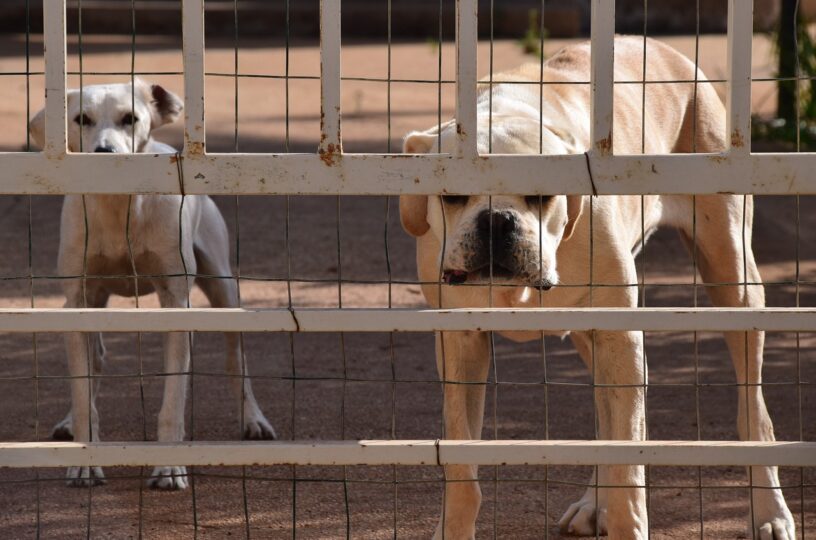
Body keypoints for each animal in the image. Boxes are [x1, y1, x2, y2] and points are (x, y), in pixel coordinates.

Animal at [29, 80, 278, 490]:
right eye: (81, 119)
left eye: (130, 118)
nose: (105, 153)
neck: (120, 211)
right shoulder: (77, 301)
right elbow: (83, 392)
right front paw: (85, 461)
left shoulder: (176, 302)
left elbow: (173, 401)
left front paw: (169, 468)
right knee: (95, 361)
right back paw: (68, 421)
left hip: (223, 286)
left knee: (236, 359)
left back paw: (253, 419)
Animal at [402, 38, 796, 540]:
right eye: (451, 196)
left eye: (541, 195)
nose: (497, 221)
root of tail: (660, 47)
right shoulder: (459, 345)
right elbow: (460, 466)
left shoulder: (618, 336)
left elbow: (628, 463)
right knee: (608, 421)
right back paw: (594, 504)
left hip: (733, 280)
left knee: (751, 412)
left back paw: (770, 512)